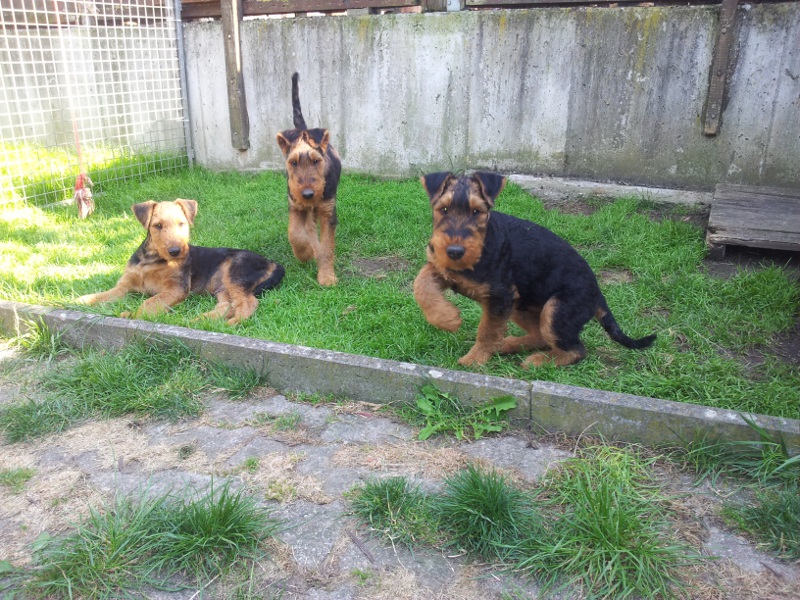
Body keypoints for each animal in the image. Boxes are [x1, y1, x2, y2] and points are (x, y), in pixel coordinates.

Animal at [76, 199, 285, 325]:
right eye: (158, 225)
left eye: (182, 223)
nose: (176, 251)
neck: (152, 260)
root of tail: (270, 261)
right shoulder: (124, 286)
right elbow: (103, 295)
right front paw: (81, 300)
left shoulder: (175, 288)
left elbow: (150, 302)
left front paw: (135, 315)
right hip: (223, 287)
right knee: (227, 306)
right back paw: (199, 321)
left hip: (236, 274)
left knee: (249, 303)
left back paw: (232, 323)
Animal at [276, 72, 342, 286]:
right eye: (293, 162)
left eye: (316, 160)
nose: (308, 193)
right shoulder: (296, 206)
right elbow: (296, 234)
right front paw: (305, 253)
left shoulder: (328, 211)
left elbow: (327, 247)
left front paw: (327, 277)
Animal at [413, 172, 656, 367]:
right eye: (443, 209)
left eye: (476, 211)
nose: (455, 251)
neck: (483, 244)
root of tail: (597, 294)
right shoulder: (443, 269)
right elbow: (421, 284)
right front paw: (447, 318)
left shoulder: (500, 296)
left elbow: (487, 332)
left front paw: (474, 359)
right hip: (522, 305)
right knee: (540, 337)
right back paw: (508, 345)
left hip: (555, 311)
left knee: (575, 349)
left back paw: (538, 361)